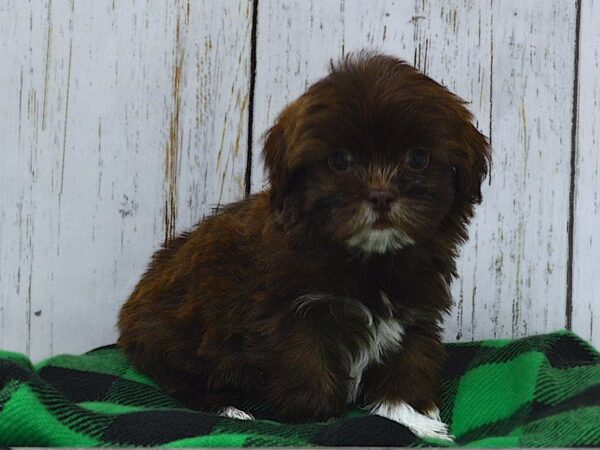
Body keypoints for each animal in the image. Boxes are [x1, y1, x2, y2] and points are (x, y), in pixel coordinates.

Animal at [118, 52, 492, 440]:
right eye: (339, 160)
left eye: (417, 158)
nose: (381, 195)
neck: (369, 259)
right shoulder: (290, 314)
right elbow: (304, 361)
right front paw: (316, 415)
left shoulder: (415, 306)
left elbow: (410, 360)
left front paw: (411, 414)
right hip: (171, 337)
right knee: (181, 377)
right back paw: (227, 406)